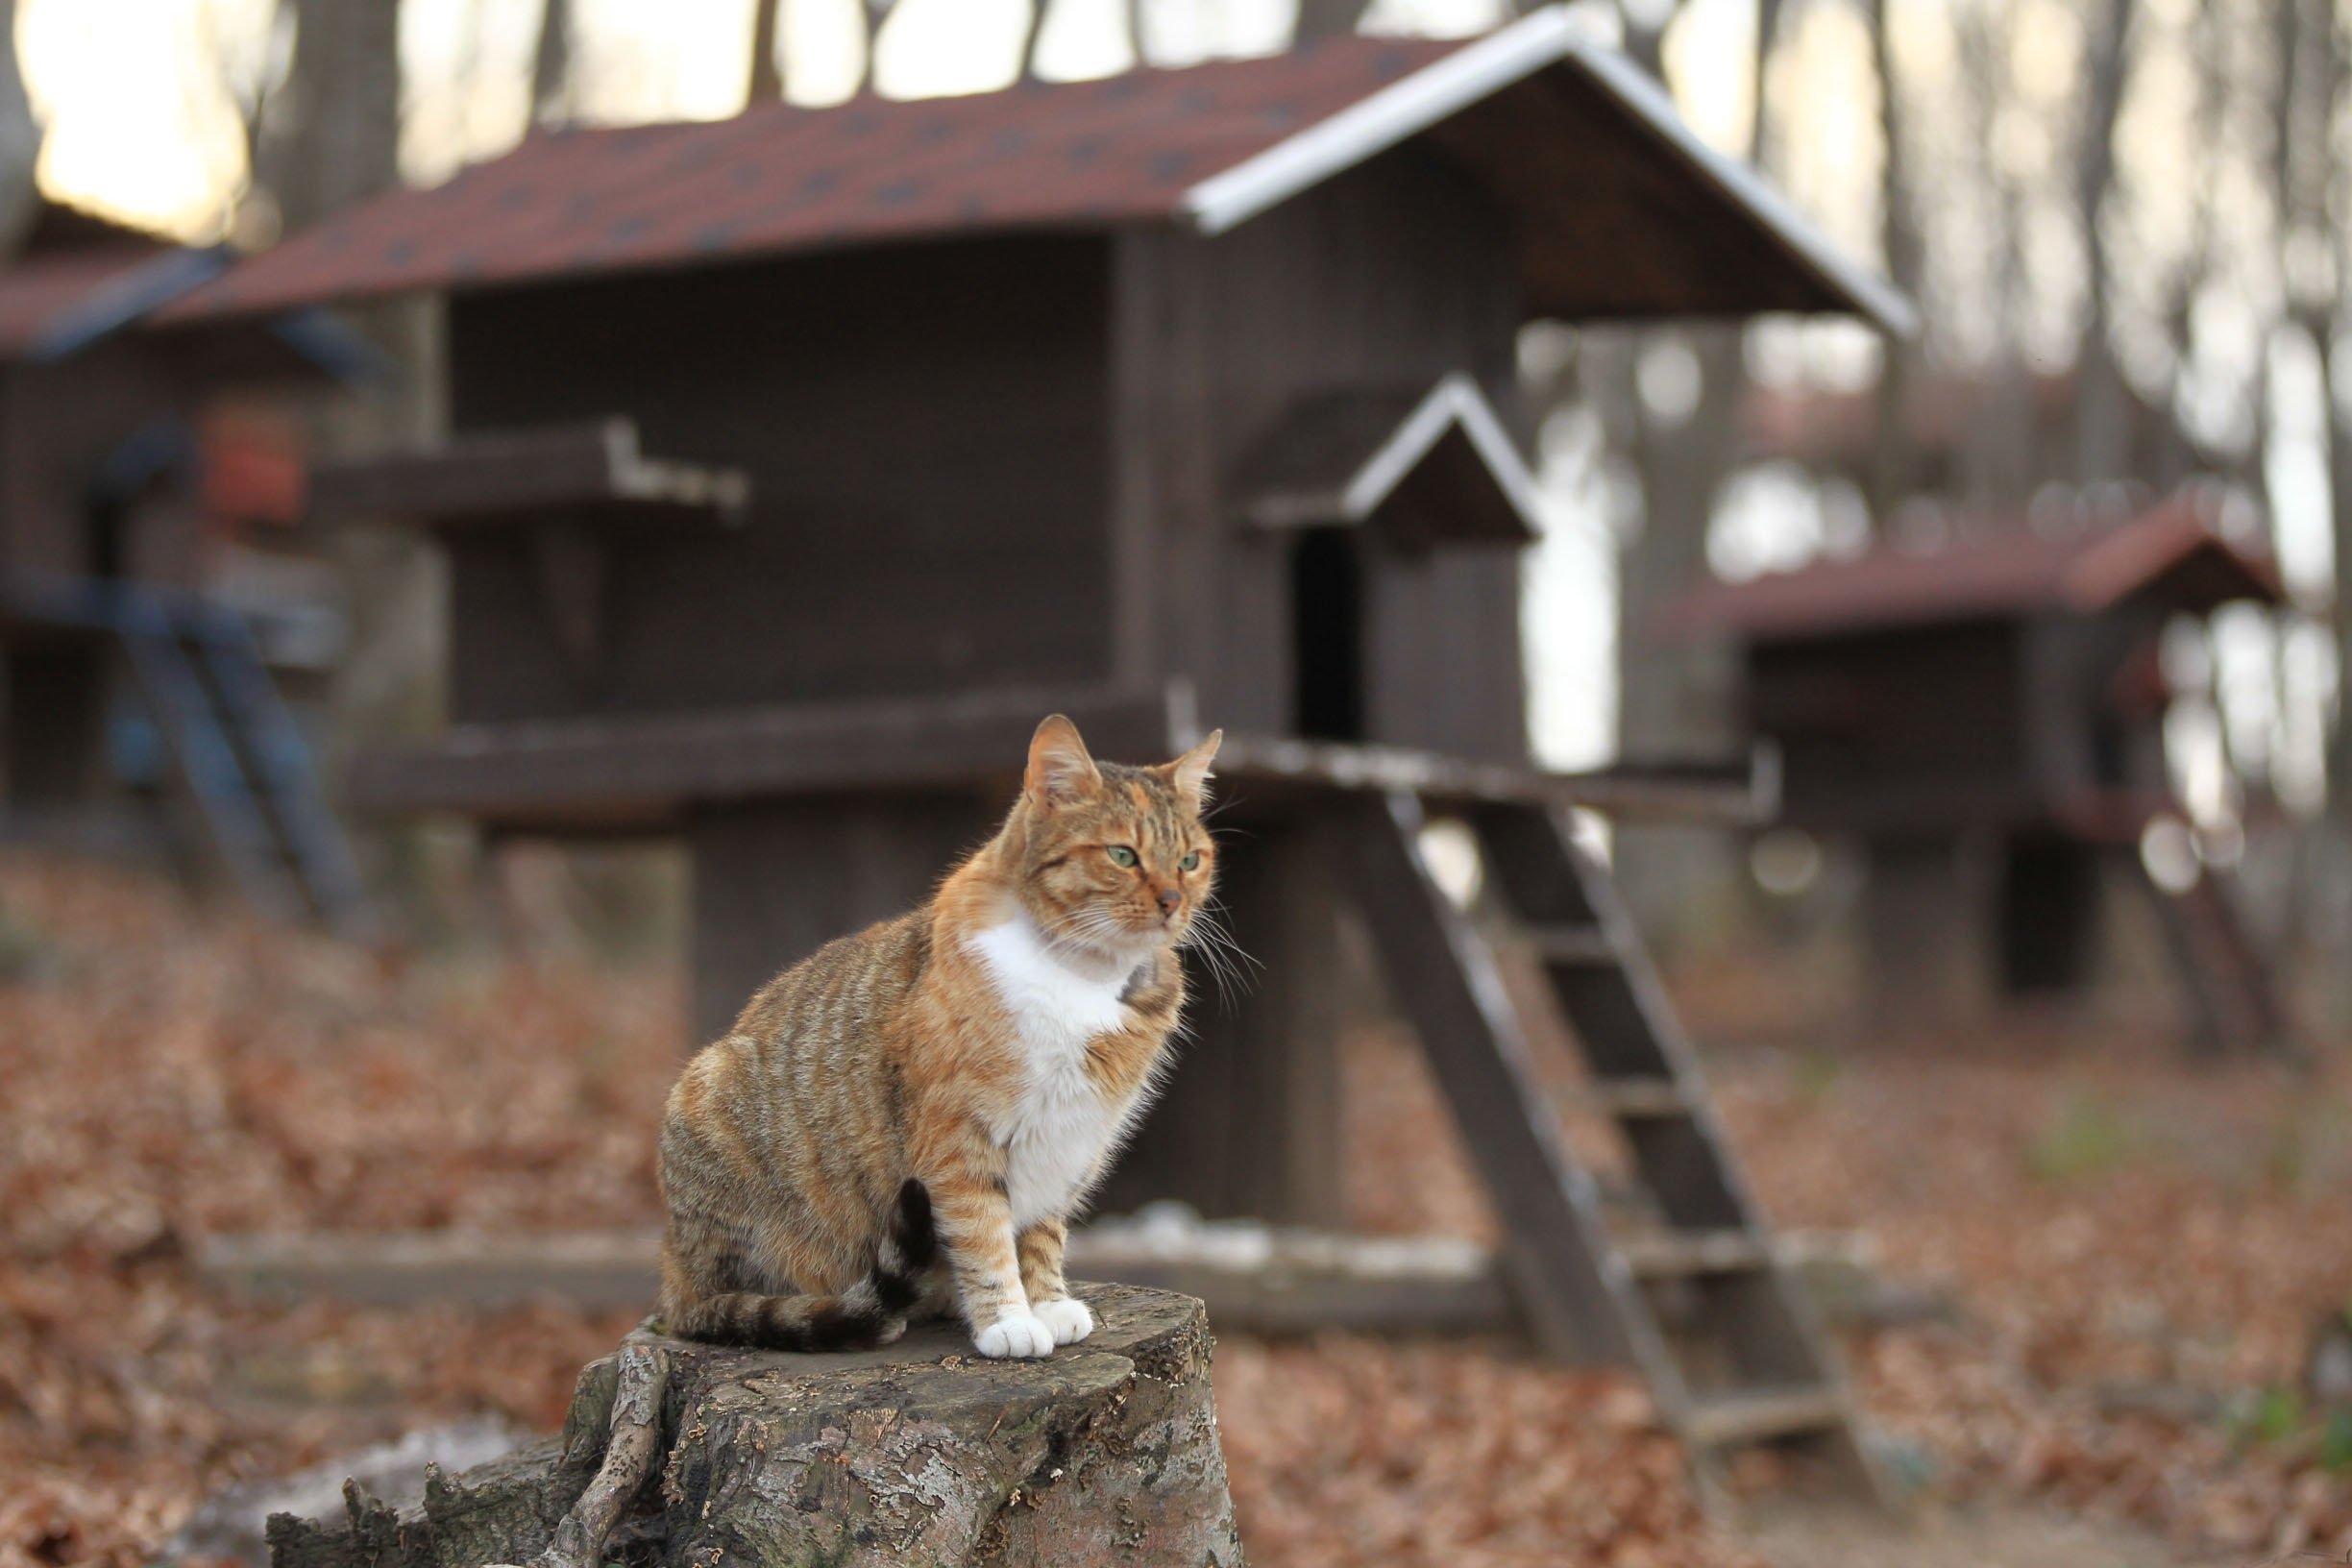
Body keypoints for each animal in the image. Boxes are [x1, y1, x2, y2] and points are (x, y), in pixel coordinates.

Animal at [653, 719, 1222, 1354]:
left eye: (1191, 859)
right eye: (1123, 855)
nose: (1173, 902)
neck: (1080, 975)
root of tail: (677, 1285)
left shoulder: (1067, 1138)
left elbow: (1042, 1229)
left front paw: (1047, 1302)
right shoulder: (955, 1137)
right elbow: (981, 1230)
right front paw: (1007, 1319)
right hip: (709, 1100)